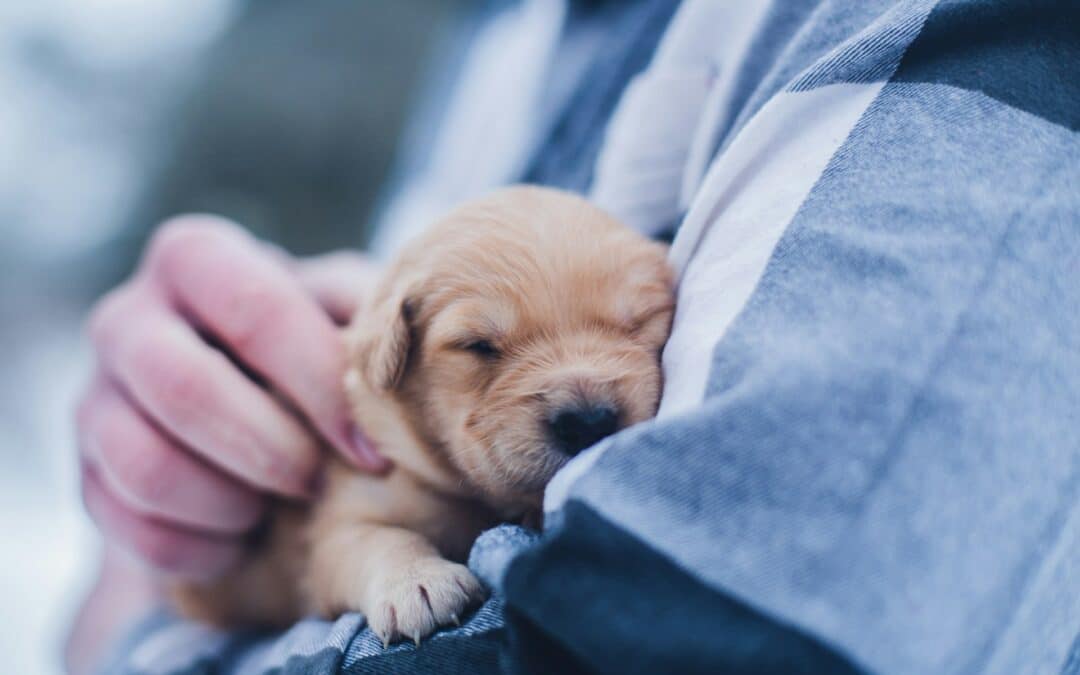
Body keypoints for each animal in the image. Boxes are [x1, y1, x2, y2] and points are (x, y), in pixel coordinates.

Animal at [172, 185, 669, 648]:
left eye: (640, 322)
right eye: (478, 345)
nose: (587, 422)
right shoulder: (340, 520)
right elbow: (377, 539)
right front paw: (417, 583)